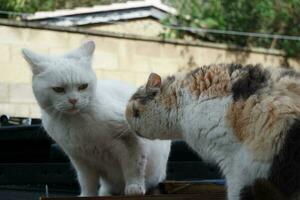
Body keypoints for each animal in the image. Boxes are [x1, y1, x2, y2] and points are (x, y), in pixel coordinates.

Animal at [21, 41, 171, 197]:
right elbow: (87, 180)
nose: (73, 100)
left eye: (83, 86)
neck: (76, 123)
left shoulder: (131, 139)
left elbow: (134, 166)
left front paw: (134, 187)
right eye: (58, 89)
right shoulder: (80, 159)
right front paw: (87, 195)